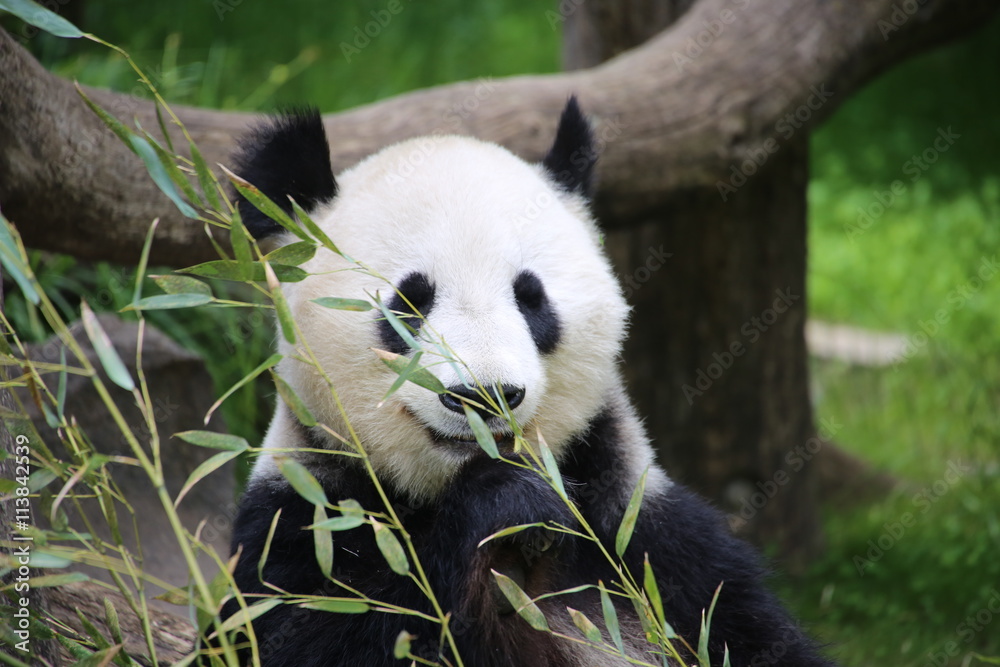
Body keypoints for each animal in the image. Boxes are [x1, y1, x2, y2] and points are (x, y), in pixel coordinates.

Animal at [215, 99, 835, 667]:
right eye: (408, 304)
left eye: (531, 297)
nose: (484, 395)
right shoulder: (305, 514)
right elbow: (306, 633)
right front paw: (507, 500)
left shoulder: (647, 541)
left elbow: (742, 631)